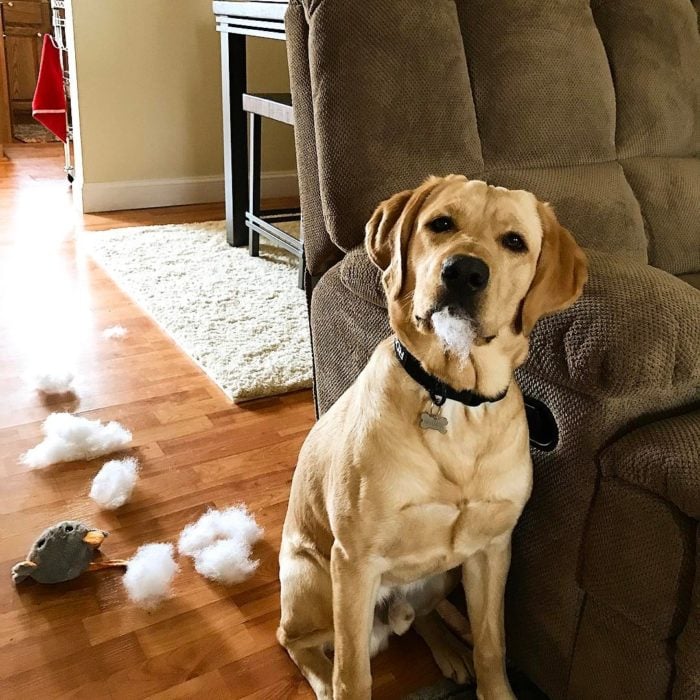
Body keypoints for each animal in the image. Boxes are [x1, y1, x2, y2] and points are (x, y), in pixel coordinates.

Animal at [276, 176, 588, 700]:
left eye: (515, 242)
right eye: (441, 224)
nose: (464, 271)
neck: (453, 394)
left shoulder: (491, 550)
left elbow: (493, 646)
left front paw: (490, 681)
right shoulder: (354, 562)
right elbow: (353, 674)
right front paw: (341, 682)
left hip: (443, 576)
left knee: (423, 617)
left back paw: (451, 647)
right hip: (314, 579)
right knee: (295, 639)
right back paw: (322, 677)